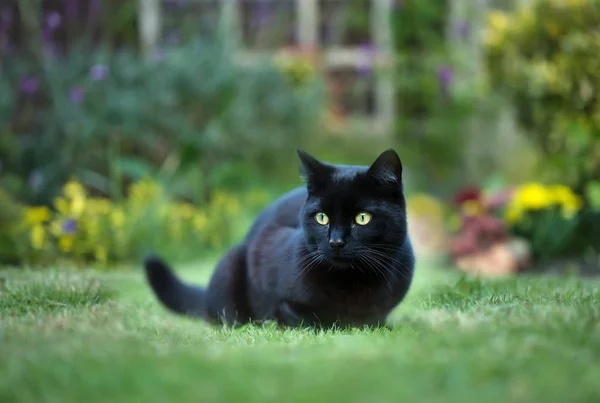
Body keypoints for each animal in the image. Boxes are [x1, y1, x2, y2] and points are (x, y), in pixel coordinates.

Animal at [146, 148, 418, 328]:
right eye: (321, 217)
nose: (336, 242)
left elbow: (375, 318)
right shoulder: (267, 250)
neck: (351, 284)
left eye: (362, 218)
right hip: (232, 259)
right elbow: (304, 316)